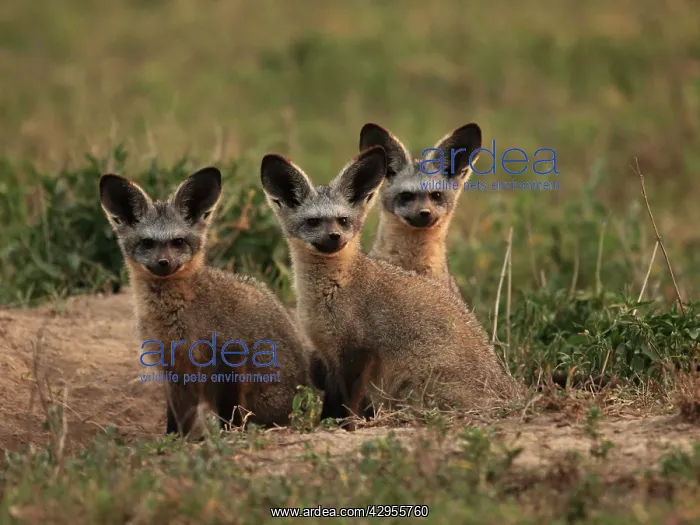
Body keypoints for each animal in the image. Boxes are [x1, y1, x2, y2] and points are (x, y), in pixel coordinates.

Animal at [99, 167, 316, 437]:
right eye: (147, 243)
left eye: (178, 242)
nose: (163, 263)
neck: (175, 314)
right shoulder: (173, 371)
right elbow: (176, 421)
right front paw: (173, 441)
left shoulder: (229, 358)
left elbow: (229, 413)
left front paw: (226, 437)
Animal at [260, 146, 518, 429]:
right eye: (313, 222)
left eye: (343, 221)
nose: (334, 237)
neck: (330, 291)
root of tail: (503, 386)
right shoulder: (328, 354)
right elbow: (332, 402)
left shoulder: (356, 354)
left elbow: (344, 405)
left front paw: (340, 427)